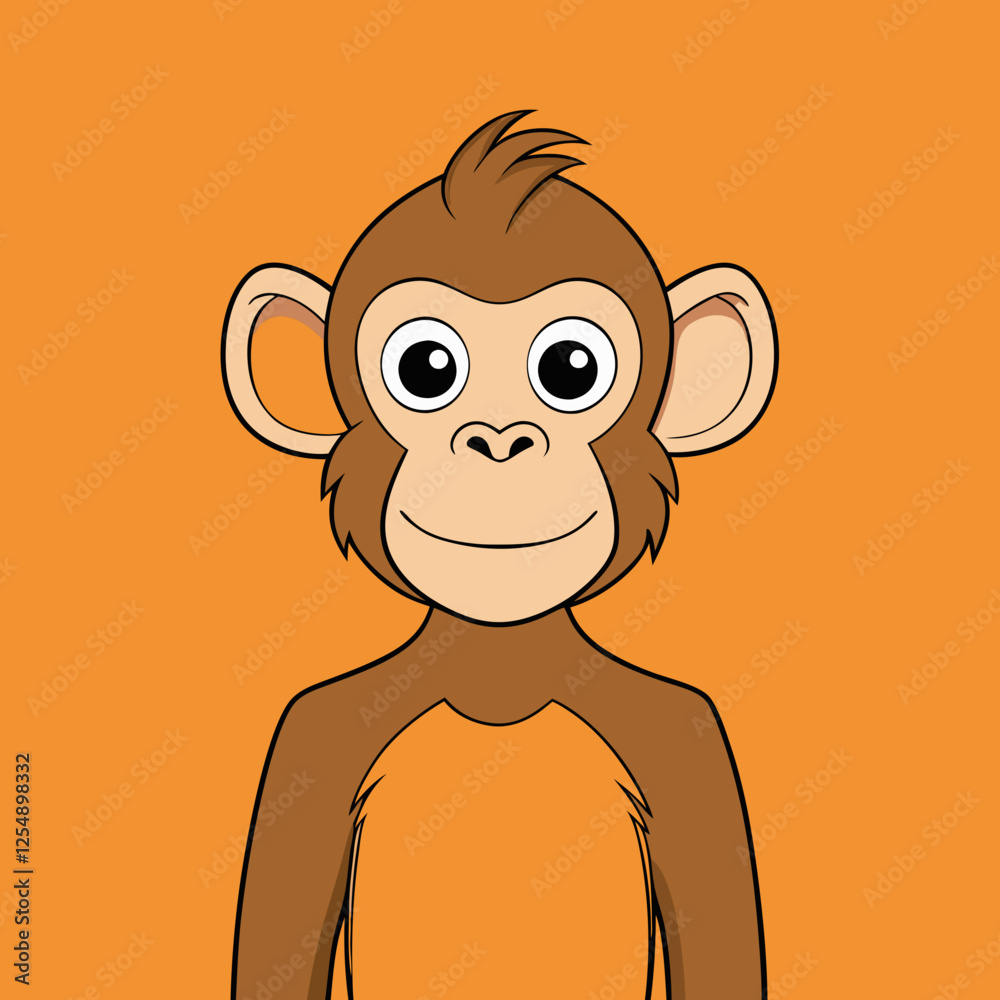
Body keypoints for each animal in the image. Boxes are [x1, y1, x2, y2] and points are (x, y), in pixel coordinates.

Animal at [221, 110, 778, 1000]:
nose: (499, 439)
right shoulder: (310, 737)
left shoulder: (688, 738)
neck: (498, 672)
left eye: (571, 367)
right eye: (425, 367)